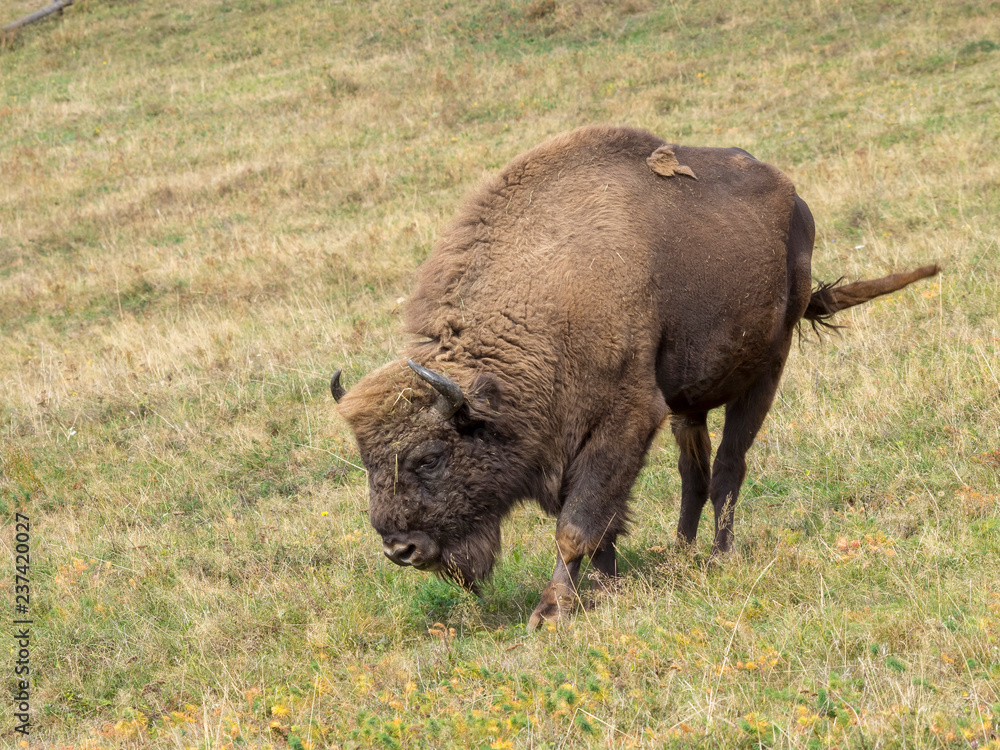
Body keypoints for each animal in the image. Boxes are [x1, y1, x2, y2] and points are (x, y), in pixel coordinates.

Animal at [332, 125, 937, 629]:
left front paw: (551, 613)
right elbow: (603, 524)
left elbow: (578, 524)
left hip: (766, 370)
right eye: (367, 461)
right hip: (689, 401)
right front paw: (608, 587)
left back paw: (717, 557)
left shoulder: (623, 420)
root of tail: (797, 202)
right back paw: (680, 554)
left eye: (430, 457)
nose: (399, 549)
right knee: (694, 473)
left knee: (729, 467)